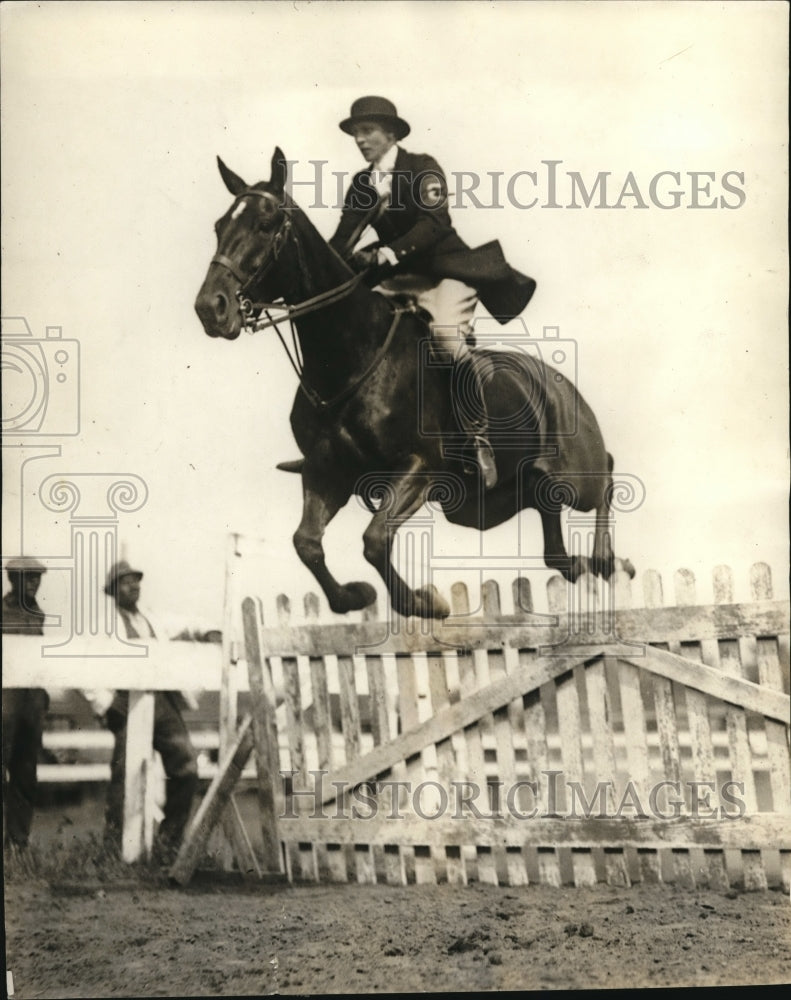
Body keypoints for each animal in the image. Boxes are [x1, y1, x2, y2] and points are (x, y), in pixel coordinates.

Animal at [195, 148, 636, 616]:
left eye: (265, 225)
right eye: (219, 227)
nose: (210, 308)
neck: (349, 357)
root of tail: (563, 385)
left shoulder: (419, 468)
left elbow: (373, 540)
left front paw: (425, 603)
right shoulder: (326, 471)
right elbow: (307, 544)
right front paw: (355, 596)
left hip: (573, 476)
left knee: (606, 475)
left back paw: (608, 561)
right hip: (502, 499)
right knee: (557, 552)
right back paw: (592, 567)